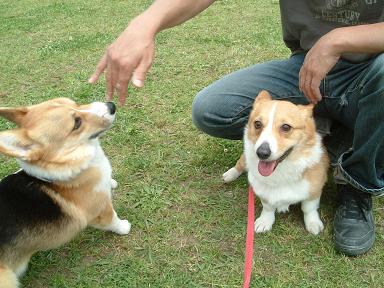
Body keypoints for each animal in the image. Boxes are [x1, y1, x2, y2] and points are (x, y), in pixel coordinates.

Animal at [0, 98, 130, 286]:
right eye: (77, 123)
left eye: (75, 103)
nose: (111, 105)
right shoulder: (101, 211)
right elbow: (113, 220)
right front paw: (124, 227)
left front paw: (111, 182)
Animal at [224, 91, 328, 235]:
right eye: (257, 124)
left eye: (286, 127)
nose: (262, 153)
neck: (282, 171)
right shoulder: (263, 191)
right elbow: (268, 207)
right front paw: (264, 221)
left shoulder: (314, 190)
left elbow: (309, 208)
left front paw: (313, 223)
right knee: (241, 162)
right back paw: (230, 174)